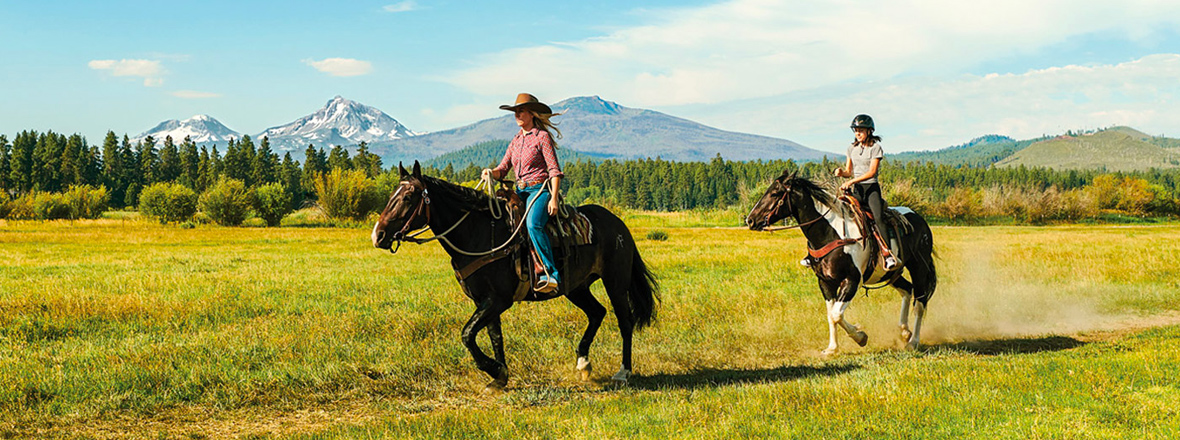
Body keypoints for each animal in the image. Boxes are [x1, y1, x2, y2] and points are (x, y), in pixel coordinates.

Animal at [371, 161, 659, 389]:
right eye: (392, 194)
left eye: (408, 197)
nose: (378, 235)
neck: (478, 233)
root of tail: (618, 224)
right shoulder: (485, 301)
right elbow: (493, 336)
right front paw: (499, 377)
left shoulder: (498, 300)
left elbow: (467, 334)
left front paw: (494, 369)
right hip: (576, 287)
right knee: (597, 312)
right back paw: (583, 363)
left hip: (616, 283)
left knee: (625, 321)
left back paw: (623, 372)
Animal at [745, 171, 937, 355]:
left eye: (775, 193)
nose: (750, 220)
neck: (830, 233)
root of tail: (920, 220)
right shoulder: (825, 282)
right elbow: (831, 314)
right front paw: (832, 348)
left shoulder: (852, 280)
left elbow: (837, 314)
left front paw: (860, 336)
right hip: (890, 274)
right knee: (907, 289)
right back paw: (904, 332)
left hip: (919, 267)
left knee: (920, 303)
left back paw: (913, 342)